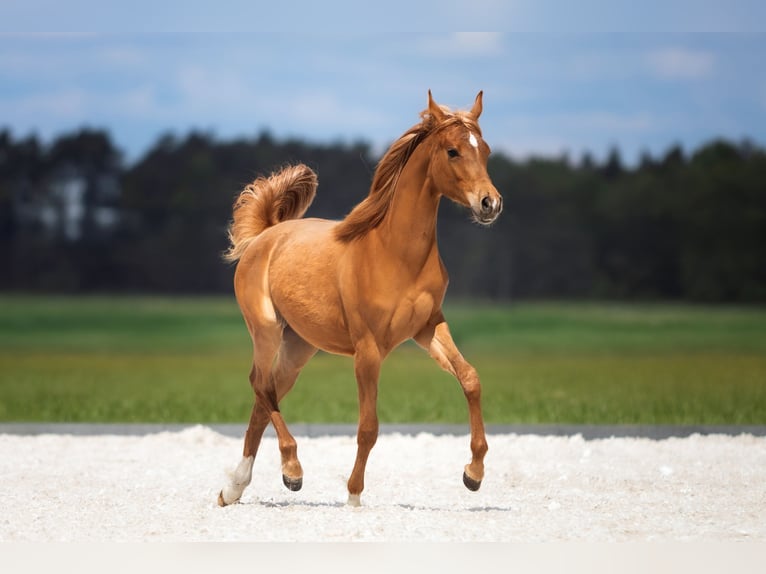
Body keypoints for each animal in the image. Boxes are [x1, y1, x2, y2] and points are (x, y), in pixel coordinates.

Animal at [218, 90, 503, 507]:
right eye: (452, 151)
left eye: (485, 150)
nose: (490, 204)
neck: (395, 253)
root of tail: (264, 237)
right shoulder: (368, 349)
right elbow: (368, 426)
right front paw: (353, 495)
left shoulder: (428, 328)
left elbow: (470, 379)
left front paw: (474, 474)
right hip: (266, 330)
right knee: (259, 383)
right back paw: (292, 471)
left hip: (299, 346)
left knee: (265, 396)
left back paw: (234, 487)